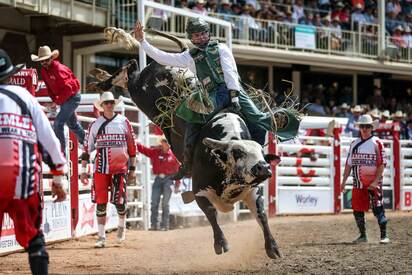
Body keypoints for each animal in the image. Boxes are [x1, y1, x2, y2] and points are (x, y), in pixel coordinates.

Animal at [89, 59, 282, 258]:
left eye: (261, 153)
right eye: (238, 152)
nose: (264, 167)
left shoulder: (253, 190)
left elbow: (262, 214)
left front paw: (272, 247)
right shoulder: (199, 190)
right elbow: (211, 212)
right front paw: (221, 243)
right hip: (140, 93)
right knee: (129, 74)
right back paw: (101, 80)